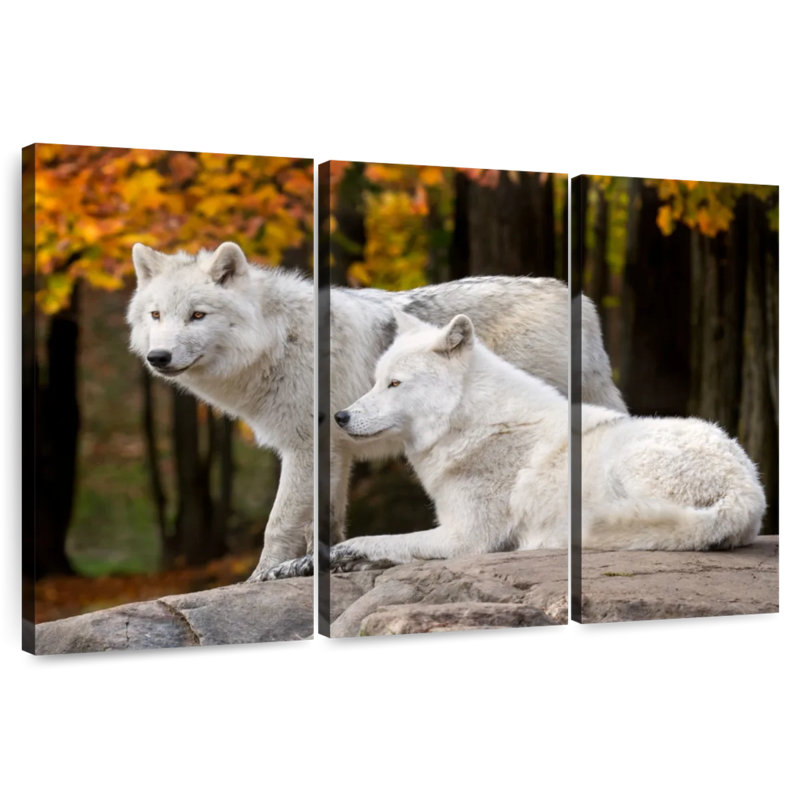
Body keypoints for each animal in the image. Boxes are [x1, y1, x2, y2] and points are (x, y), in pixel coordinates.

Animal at [127, 242, 625, 580]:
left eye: (197, 315)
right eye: (156, 315)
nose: (159, 357)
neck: (280, 339)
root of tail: (571, 294)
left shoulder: (306, 449)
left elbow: (278, 525)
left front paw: (259, 578)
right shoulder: (334, 451)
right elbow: (323, 524)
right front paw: (312, 567)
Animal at [330, 313, 765, 567]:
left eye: (395, 384)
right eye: (375, 381)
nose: (340, 416)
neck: (469, 424)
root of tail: (747, 492)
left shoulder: (467, 538)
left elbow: (388, 540)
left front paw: (348, 550)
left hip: (627, 465)